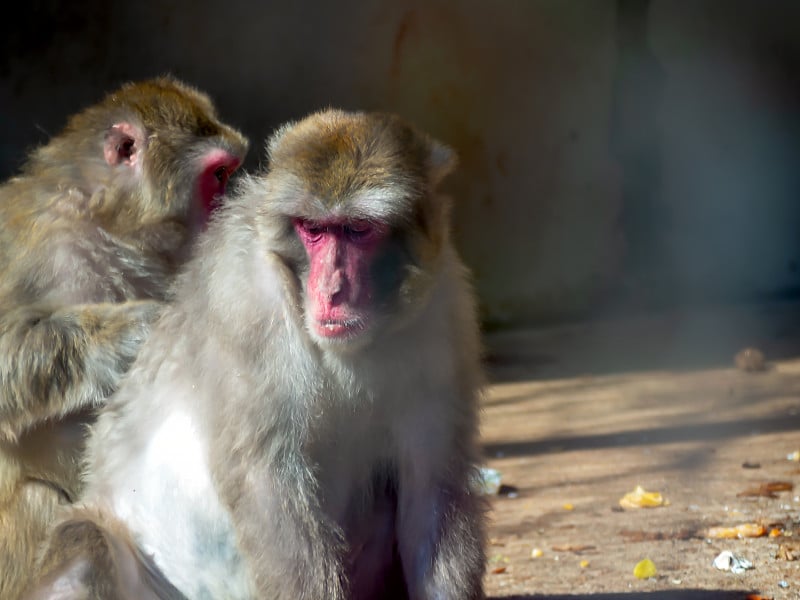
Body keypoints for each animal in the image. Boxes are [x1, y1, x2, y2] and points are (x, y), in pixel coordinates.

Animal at [0, 76, 247, 600]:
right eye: (217, 176)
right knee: (38, 500)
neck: (107, 228)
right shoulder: (39, 250)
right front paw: (132, 331)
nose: (225, 212)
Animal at [28, 110, 488, 596]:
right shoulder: (245, 299)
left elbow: (431, 483)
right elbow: (266, 480)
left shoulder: (445, 312)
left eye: (358, 229)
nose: (332, 291)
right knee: (87, 545)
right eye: (313, 229)